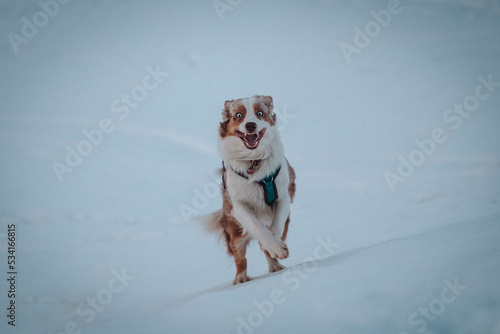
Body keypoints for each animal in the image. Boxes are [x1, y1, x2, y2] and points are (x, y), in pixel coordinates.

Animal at [204, 94, 296, 284]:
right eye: (238, 115)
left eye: (259, 113)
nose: (250, 125)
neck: (254, 160)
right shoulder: (237, 206)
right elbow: (256, 226)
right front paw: (274, 246)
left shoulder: (284, 194)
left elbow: (276, 225)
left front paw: (275, 246)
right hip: (234, 230)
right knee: (240, 257)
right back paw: (241, 279)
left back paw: (275, 265)